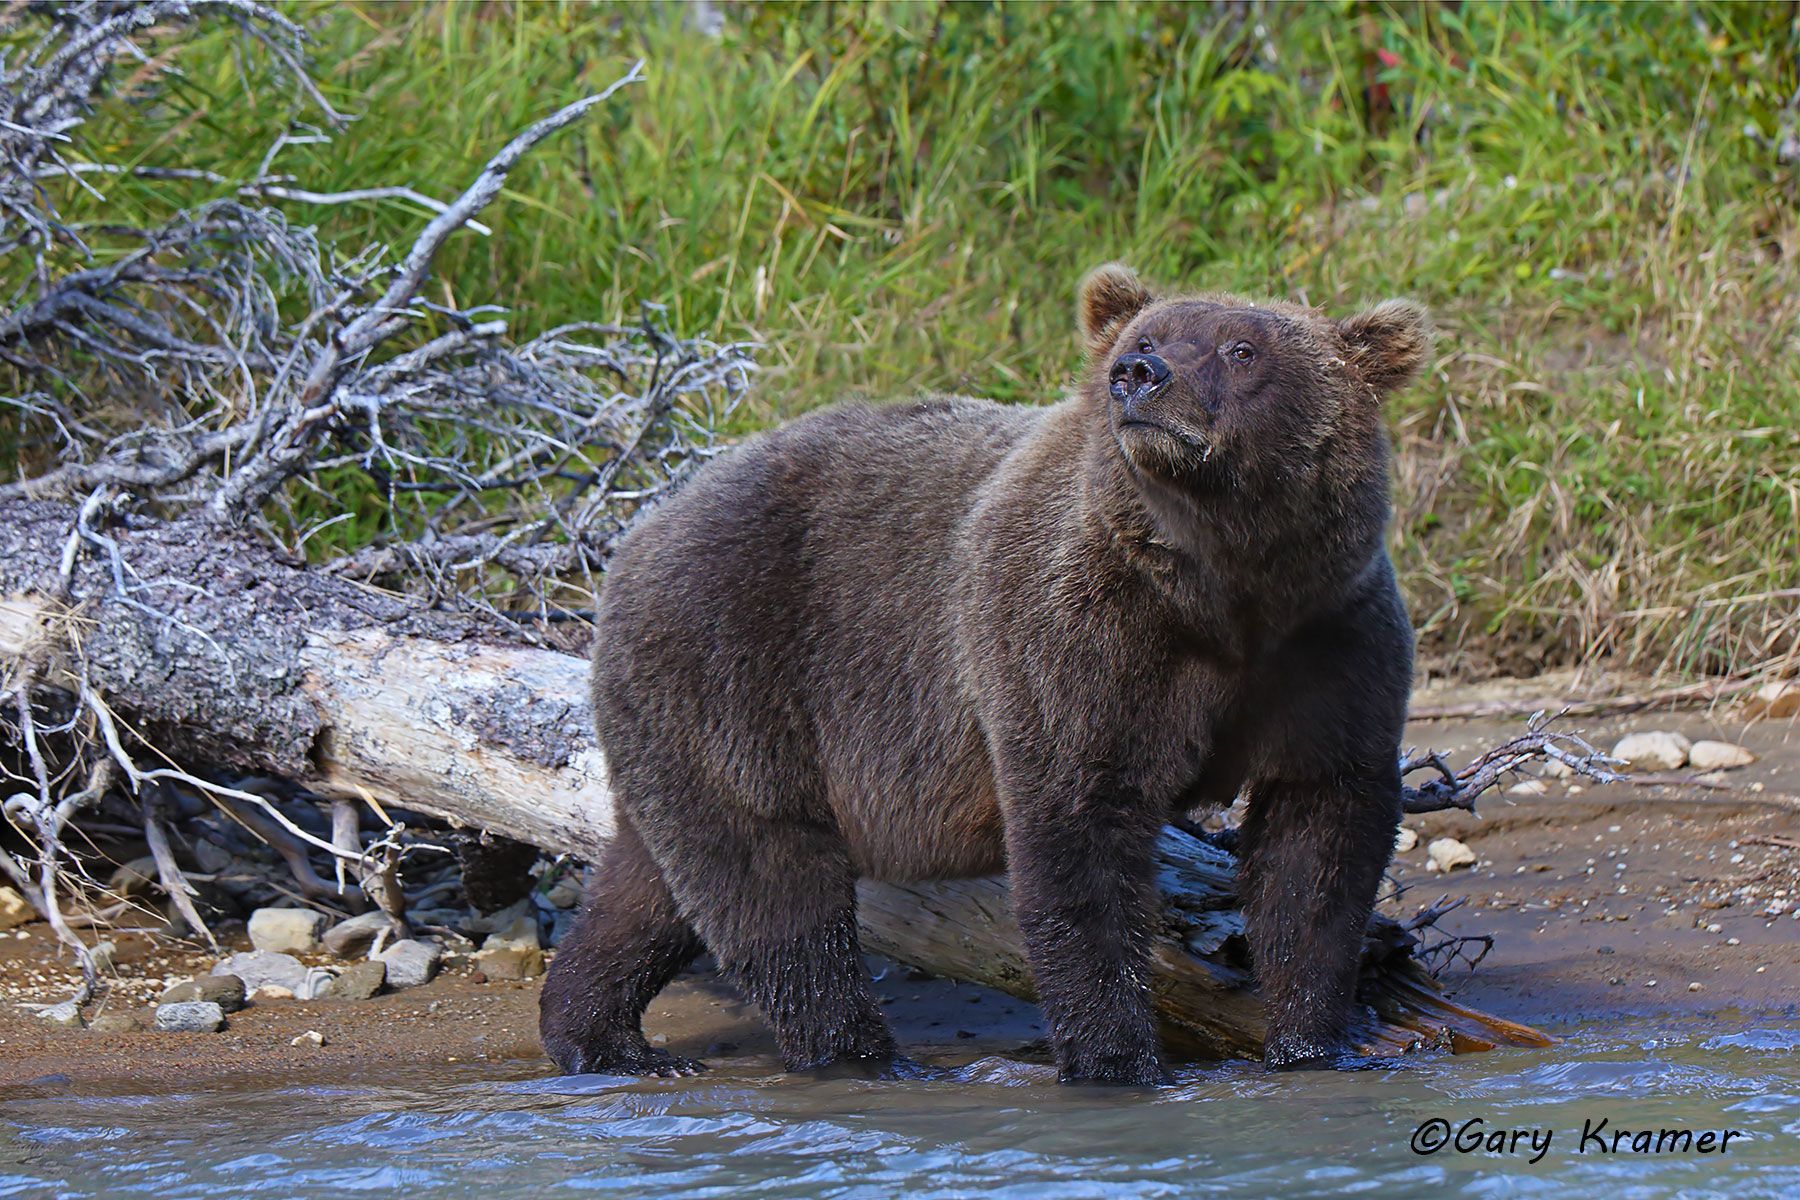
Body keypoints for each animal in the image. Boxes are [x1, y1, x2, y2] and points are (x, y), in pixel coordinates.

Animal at [539, 264, 1432, 1084]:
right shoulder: (1072, 635)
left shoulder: (1326, 639)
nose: (1138, 375)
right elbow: (1078, 832)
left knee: (652, 883)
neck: (1220, 588)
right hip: (734, 664)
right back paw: (859, 1055)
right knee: (775, 886)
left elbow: (1318, 840)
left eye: (1241, 349)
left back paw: (600, 1033)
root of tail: (637, 534)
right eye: (1149, 335)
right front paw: (1117, 1059)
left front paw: (1311, 1041)